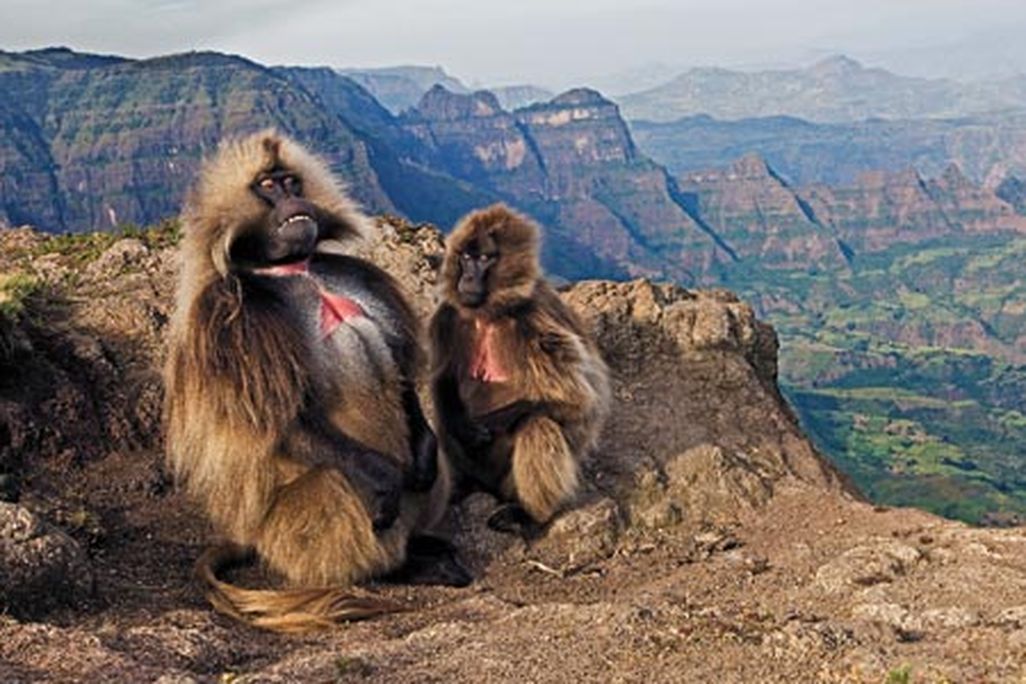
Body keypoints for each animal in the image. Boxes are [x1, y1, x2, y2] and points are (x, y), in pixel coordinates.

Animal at [164, 129, 470, 633]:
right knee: (337, 482)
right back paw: (398, 568)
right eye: (268, 186)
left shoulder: (356, 277)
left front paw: (423, 456)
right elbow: (283, 421)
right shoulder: (232, 322)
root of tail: (254, 538)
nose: (294, 200)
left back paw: (424, 545)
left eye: (291, 180)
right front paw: (383, 478)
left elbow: (402, 376)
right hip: (288, 532)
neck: (293, 269)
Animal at [428, 204, 611, 535]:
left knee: (536, 423)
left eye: (485, 259)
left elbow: (583, 402)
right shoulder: (447, 316)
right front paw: (465, 425)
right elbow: (443, 380)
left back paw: (528, 514)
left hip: (504, 480)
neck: (489, 313)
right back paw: (459, 488)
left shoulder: (536, 321)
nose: (468, 278)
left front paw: (492, 421)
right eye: (466, 257)